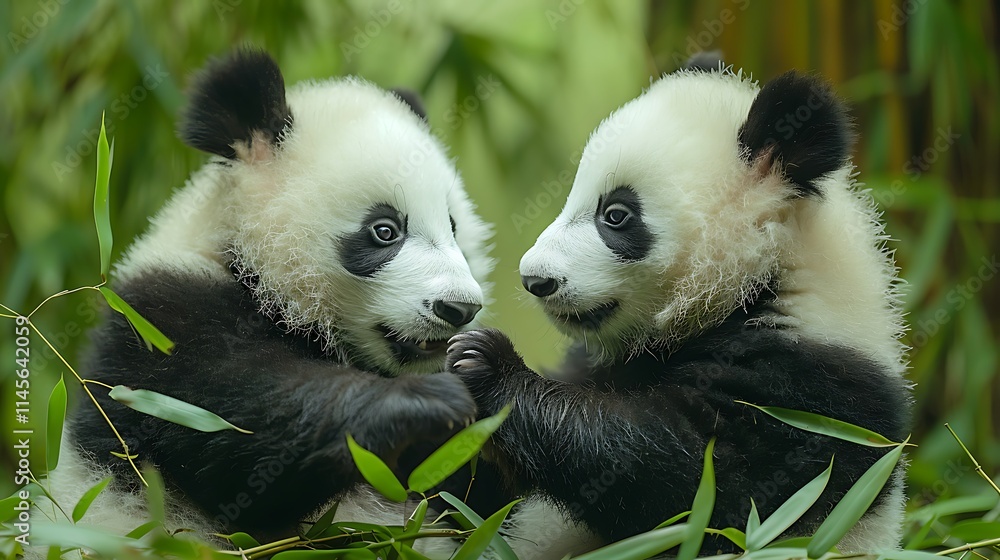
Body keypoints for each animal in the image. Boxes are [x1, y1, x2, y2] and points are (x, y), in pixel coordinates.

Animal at [30, 48, 493, 556]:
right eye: (385, 230)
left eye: (453, 226)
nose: (458, 308)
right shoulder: (160, 327)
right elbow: (239, 436)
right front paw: (424, 404)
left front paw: (488, 369)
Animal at [446, 56, 912, 558]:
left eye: (616, 215)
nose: (536, 280)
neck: (767, 279)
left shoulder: (809, 390)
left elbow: (699, 481)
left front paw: (486, 364)